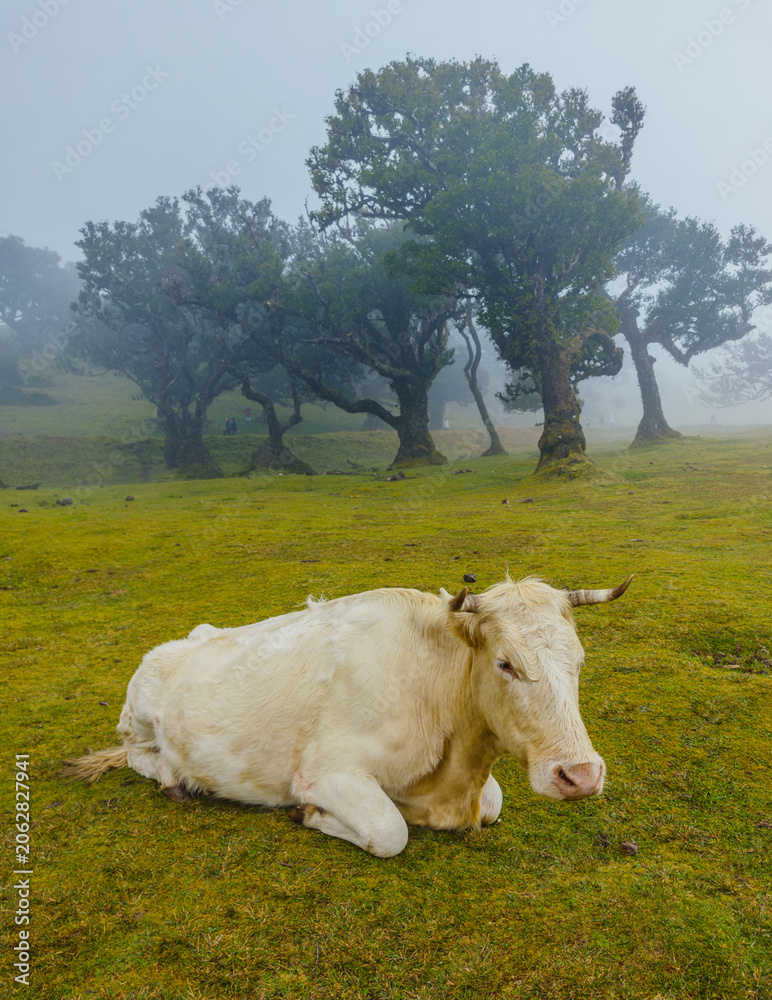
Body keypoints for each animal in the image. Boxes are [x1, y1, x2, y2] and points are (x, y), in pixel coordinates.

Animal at [63, 574, 632, 857]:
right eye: (505, 663)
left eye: (580, 660)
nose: (581, 776)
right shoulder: (327, 772)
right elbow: (388, 831)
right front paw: (309, 814)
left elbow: (492, 804)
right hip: (137, 715)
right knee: (138, 755)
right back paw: (175, 779)